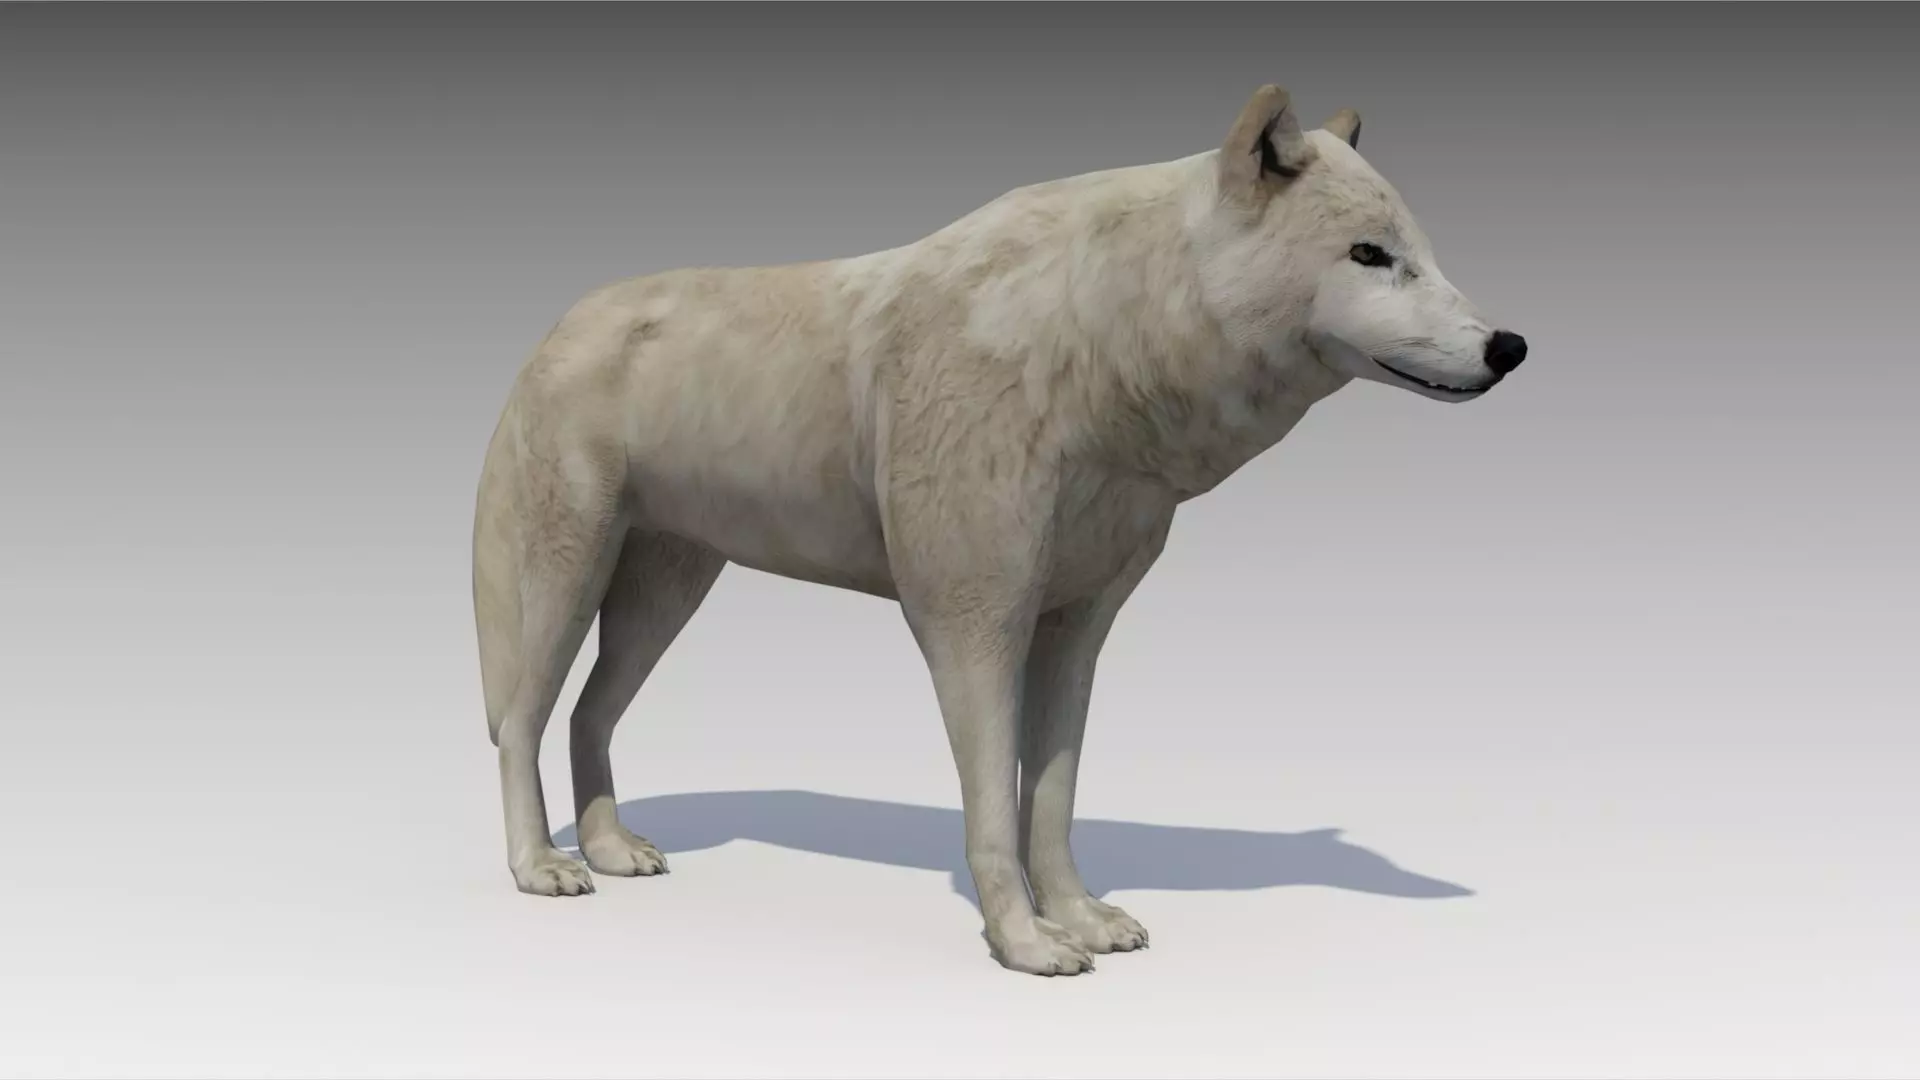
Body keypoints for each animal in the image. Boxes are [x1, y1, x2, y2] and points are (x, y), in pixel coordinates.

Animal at [471, 84, 1528, 976]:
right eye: (1369, 256)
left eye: (1423, 253)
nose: (1509, 346)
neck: (1101, 345)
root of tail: (555, 328)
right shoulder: (971, 626)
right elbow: (990, 808)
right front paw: (1024, 944)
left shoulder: (1075, 630)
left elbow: (1049, 803)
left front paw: (1083, 918)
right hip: (567, 582)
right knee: (520, 719)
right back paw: (540, 867)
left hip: (667, 592)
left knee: (589, 713)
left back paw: (611, 849)